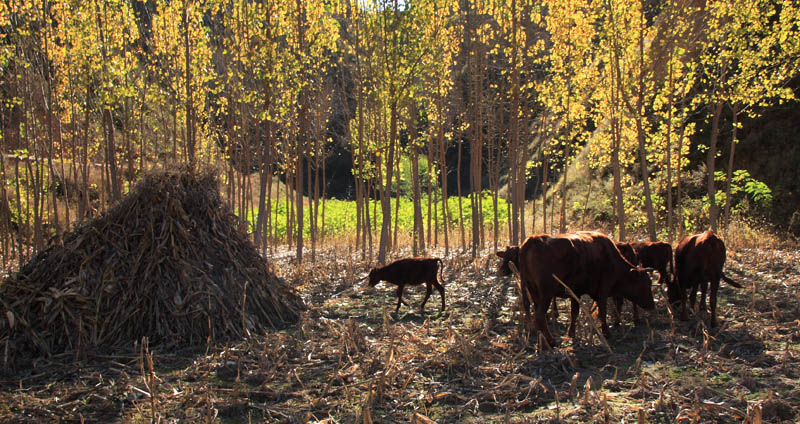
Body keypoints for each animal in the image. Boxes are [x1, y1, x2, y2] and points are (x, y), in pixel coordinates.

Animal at [500, 232, 656, 348]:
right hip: (546, 292)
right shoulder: (603, 291)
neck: (612, 260)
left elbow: (574, 312)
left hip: (533, 290)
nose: (652, 306)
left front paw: (571, 334)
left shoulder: (576, 292)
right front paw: (606, 333)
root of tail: (534, 239)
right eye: (645, 284)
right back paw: (551, 341)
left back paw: (543, 341)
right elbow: (603, 311)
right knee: (539, 315)